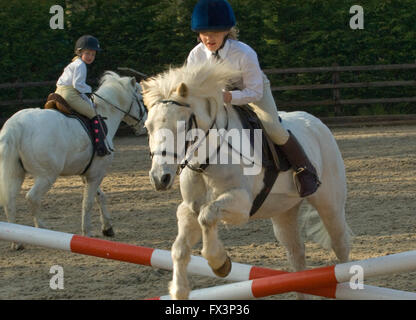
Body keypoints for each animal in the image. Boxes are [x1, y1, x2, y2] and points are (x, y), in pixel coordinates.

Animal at [0, 71, 146, 249]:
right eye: (141, 99)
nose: (144, 126)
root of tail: (16, 125)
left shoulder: (88, 174)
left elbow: (100, 196)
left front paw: (107, 228)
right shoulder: (96, 174)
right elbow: (88, 202)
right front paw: (87, 232)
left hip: (15, 173)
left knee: (9, 201)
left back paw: (17, 243)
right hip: (46, 176)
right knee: (32, 198)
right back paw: (42, 229)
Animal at [141, 60, 352, 300]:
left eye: (182, 125)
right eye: (148, 127)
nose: (160, 178)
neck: (206, 161)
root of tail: (316, 122)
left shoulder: (241, 205)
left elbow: (208, 215)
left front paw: (219, 262)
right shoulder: (189, 209)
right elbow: (180, 248)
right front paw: (179, 290)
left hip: (329, 204)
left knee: (341, 245)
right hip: (284, 211)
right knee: (296, 253)